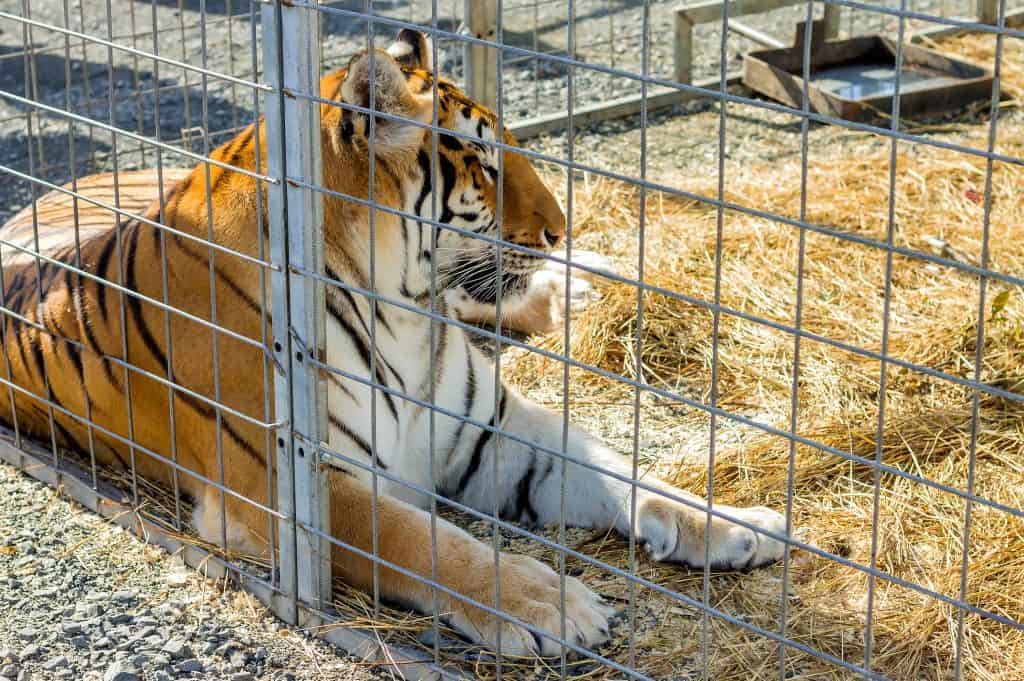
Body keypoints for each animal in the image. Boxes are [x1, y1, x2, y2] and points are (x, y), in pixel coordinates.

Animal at [0, 30, 786, 655]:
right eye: (484, 164)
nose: (561, 230)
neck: (406, 313)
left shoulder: (494, 431)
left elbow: (619, 469)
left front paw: (738, 523)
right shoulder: (291, 483)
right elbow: (428, 542)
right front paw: (552, 602)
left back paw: (590, 281)